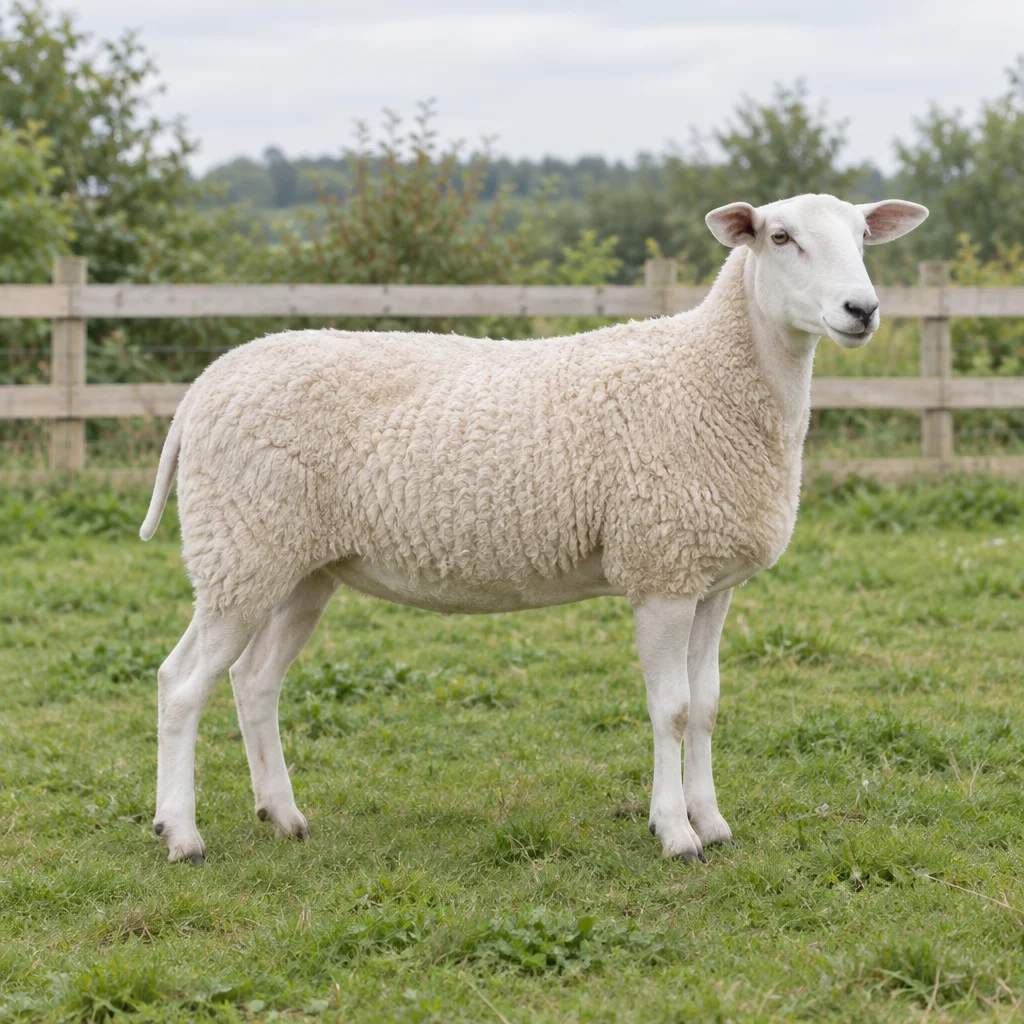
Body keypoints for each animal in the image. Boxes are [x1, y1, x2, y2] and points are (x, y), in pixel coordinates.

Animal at [140, 193, 928, 864]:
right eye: (780, 237)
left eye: (862, 235)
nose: (862, 309)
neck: (713, 375)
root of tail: (203, 387)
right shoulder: (660, 570)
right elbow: (671, 710)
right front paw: (675, 834)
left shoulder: (710, 579)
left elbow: (705, 708)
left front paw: (712, 822)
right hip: (241, 547)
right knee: (181, 683)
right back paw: (181, 834)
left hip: (300, 566)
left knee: (253, 682)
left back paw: (283, 816)